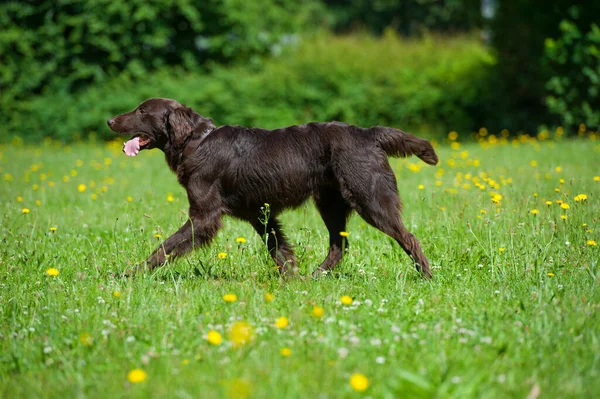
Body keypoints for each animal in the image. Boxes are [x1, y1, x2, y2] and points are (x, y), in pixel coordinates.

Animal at [105, 97, 438, 278]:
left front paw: (129, 275)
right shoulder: (258, 214)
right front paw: (293, 280)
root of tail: (369, 134)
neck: (195, 142)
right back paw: (317, 276)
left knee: (409, 238)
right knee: (339, 245)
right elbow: (279, 251)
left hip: (371, 198)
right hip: (330, 203)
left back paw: (426, 277)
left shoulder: (203, 216)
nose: (109, 120)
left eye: (142, 111)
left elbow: (164, 248)